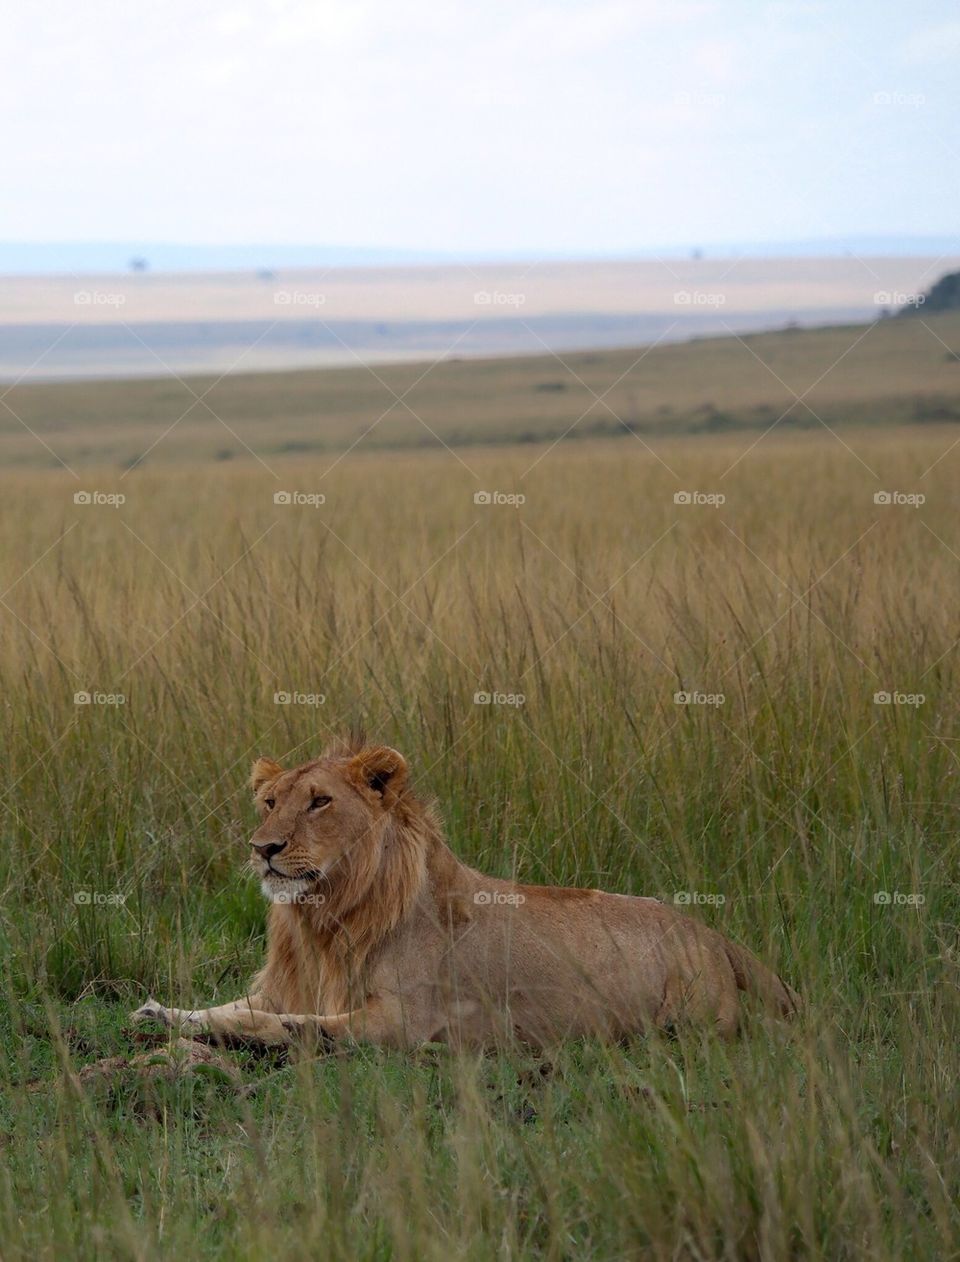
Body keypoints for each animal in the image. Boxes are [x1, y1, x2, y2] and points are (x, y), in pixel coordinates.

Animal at [131, 737, 797, 1044]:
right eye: (270, 802)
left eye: (319, 802)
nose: (262, 847)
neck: (323, 918)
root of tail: (708, 930)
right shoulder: (293, 984)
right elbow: (233, 1005)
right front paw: (163, 1012)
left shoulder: (401, 1020)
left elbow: (282, 1023)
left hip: (691, 1020)